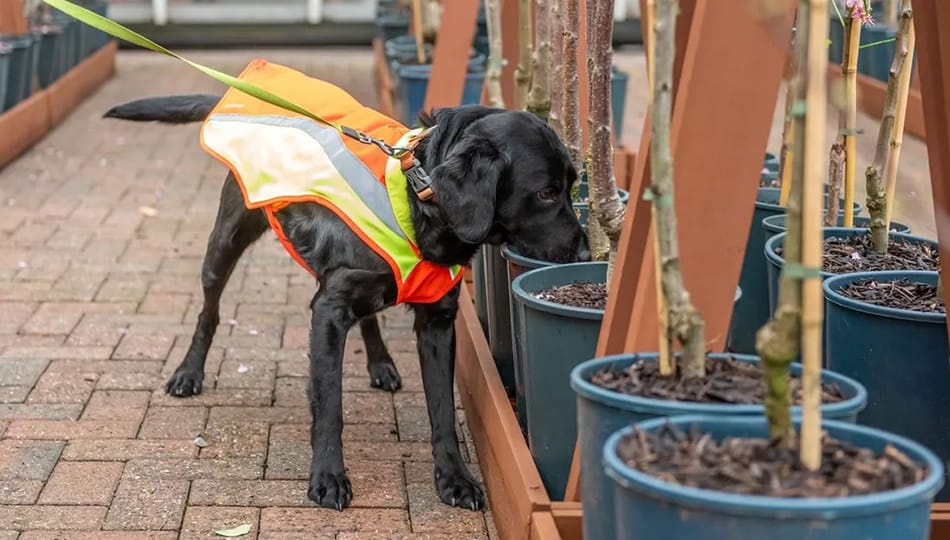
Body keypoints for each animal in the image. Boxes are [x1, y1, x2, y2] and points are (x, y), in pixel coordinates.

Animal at [108, 94, 592, 510]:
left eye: (572, 186)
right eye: (546, 192)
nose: (588, 252)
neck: (417, 200)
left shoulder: (437, 321)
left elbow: (442, 412)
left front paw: (455, 479)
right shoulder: (328, 312)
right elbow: (329, 406)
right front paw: (327, 477)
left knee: (370, 318)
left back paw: (381, 364)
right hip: (225, 243)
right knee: (209, 312)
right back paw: (188, 372)